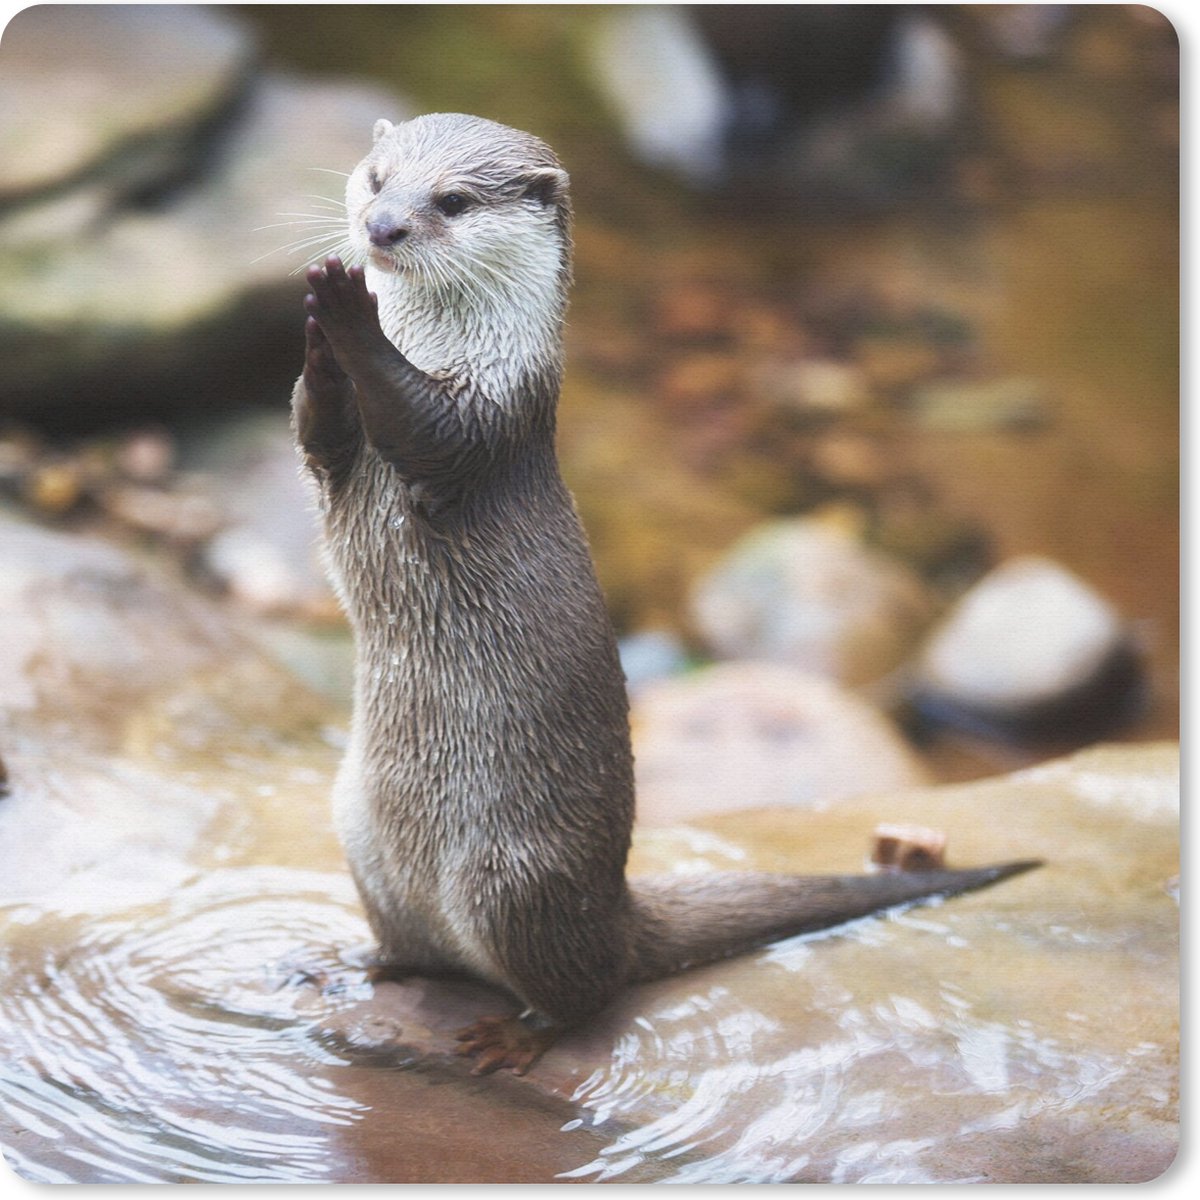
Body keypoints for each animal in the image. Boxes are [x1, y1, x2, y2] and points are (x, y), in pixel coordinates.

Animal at [292, 113, 1038, 1075]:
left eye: (450, 201)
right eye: (378, 178)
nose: (380, 229)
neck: (454, 345)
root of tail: (617, 906)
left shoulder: (491, 417)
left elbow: (426, 424)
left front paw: (347, 315)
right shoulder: (338, 458)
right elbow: (317, 429)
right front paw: (318, 337)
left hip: (513, 881)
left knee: (588, 991)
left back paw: (510, 1039)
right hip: (359, 833)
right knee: (423, 947)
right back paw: (361, 965)